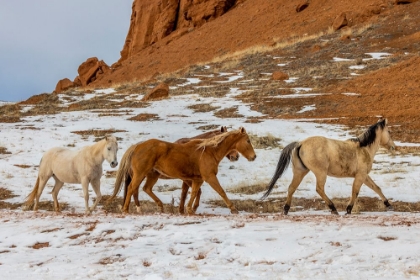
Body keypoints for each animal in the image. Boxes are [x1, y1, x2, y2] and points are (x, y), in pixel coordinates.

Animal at [108, 127, 256, 214]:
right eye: (248, 141)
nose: (253, 157)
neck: (207, 151)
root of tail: (137, 146)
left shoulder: (197, 179)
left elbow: (193, 193)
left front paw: (189, 209)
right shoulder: (209, 177)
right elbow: (221, 191)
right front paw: (233, 209)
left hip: (151, 175)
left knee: (145, 189)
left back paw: (159, 206)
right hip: (140, 174)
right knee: (132, 188)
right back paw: (126, 209)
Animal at [260, 119, 396, 215]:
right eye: (389, 132)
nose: (393, 147)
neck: (363, 149)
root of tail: (300, 143)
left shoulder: (364, 176)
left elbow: (376, 188)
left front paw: (388, 204)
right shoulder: (360, 175)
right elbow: (355, 191)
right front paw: (348, 210)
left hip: (300, 172)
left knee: (291, 188)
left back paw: (286, 210)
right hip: (320, 173)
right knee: (319, 189)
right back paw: (333, 209)